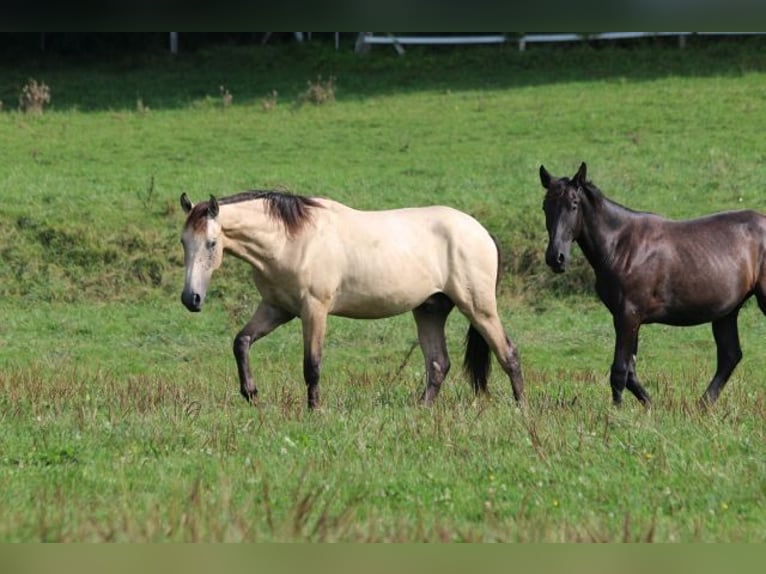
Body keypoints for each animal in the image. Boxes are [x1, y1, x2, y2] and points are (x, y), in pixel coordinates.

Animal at [540, 162, 766, 410]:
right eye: (545, 207)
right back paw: (702, 405)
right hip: (726, 312)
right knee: (729, 356)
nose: (556, 258)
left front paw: (616, 411)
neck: (621, 246)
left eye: (573, 204)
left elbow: (619, 370)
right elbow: (630, 371)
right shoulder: (629, 318)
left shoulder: (628, 316)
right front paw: (650, 405)